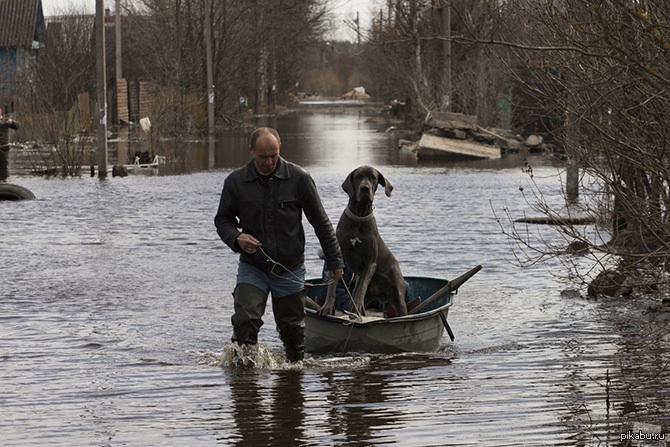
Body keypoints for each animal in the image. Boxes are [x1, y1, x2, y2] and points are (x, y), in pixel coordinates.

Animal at [320, 166, 410, 316]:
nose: (365, 188)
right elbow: (333, 284)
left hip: (398, 296)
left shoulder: (370, 262)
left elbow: (362, 286)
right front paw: (327, 307)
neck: (359, 216)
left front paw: (356, 307)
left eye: (373, 177)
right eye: (358, 177)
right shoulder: (338, 256)